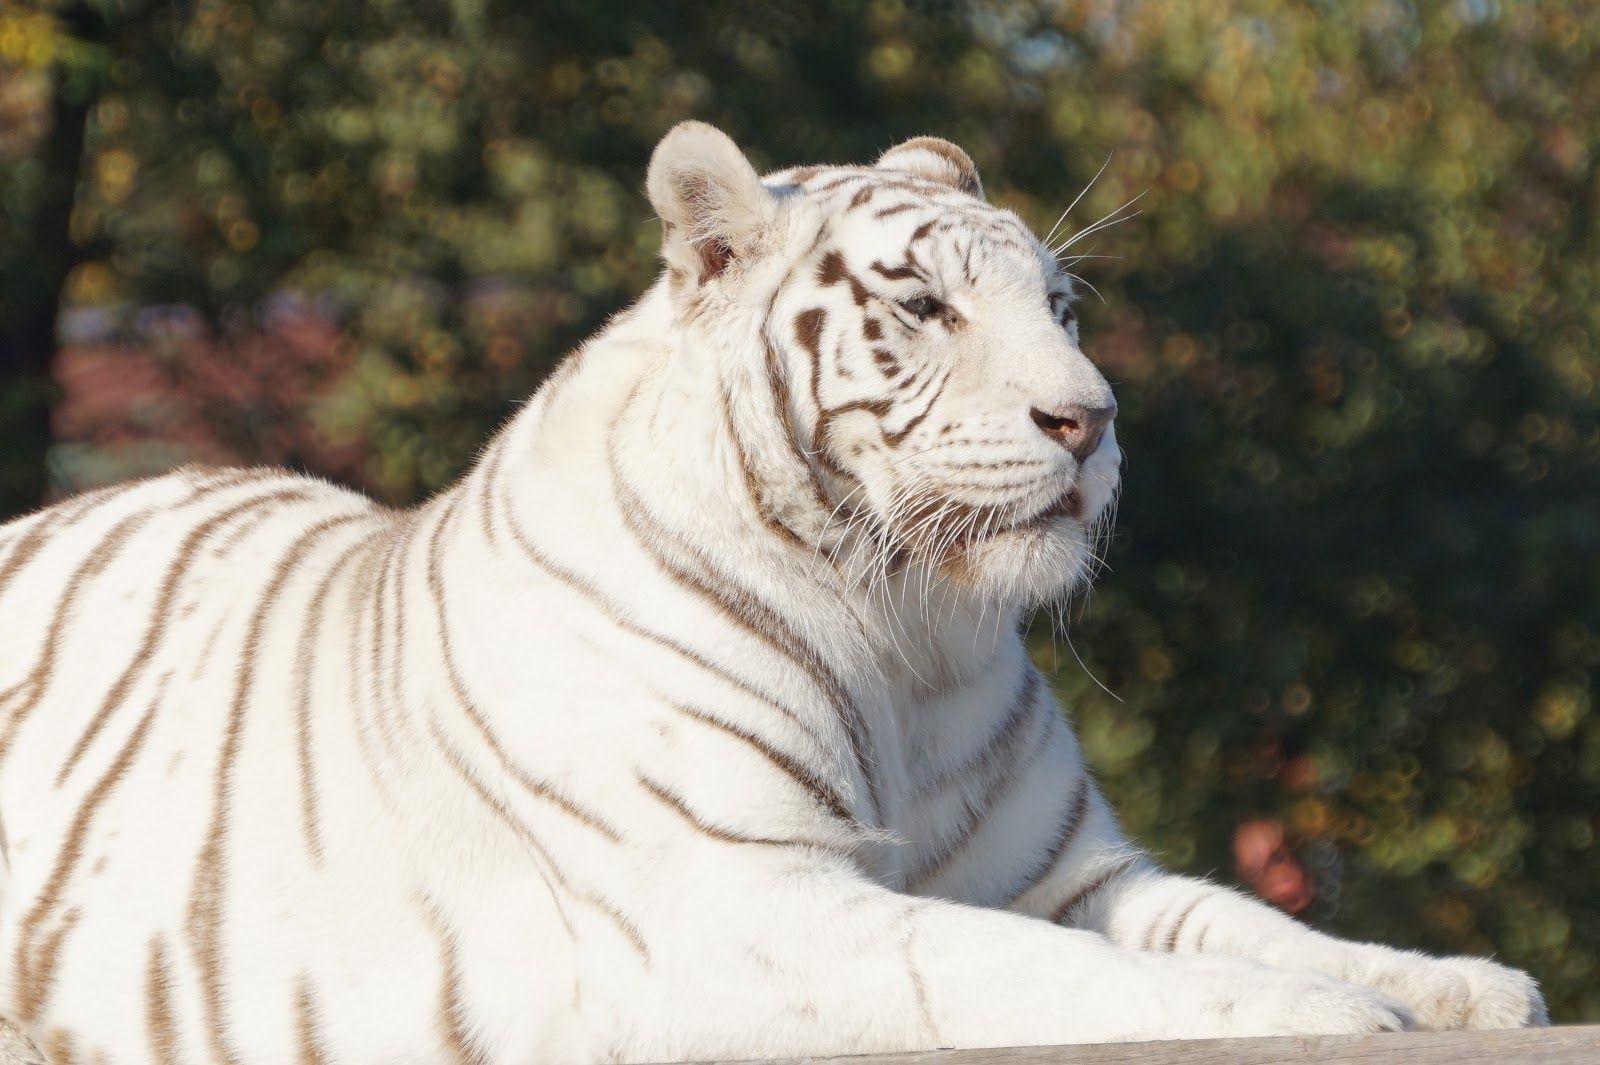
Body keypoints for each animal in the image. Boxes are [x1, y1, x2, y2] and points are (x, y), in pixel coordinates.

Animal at [0, 122, 1545, 1063]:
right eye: (926, 310)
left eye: (1061, 308)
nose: (1092, 420)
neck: (906, 634)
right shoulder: (747, 905)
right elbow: (1063, 975)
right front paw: (1327, 1008)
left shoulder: (1070, 875)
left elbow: (1245, 915)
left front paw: (1456, 981)